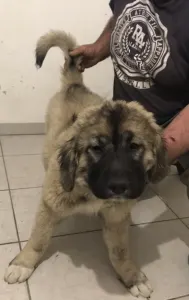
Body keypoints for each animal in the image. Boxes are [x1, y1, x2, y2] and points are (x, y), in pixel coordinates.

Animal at [3, 29, 168, 298]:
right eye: (96, 149)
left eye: (134, 147)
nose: (119, 187)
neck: (89, 190)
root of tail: (75, 85)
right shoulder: (50, 205)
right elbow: (38, 239)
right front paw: (23, 264)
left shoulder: (117, 217)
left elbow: (120, 251)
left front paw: (132, 276)